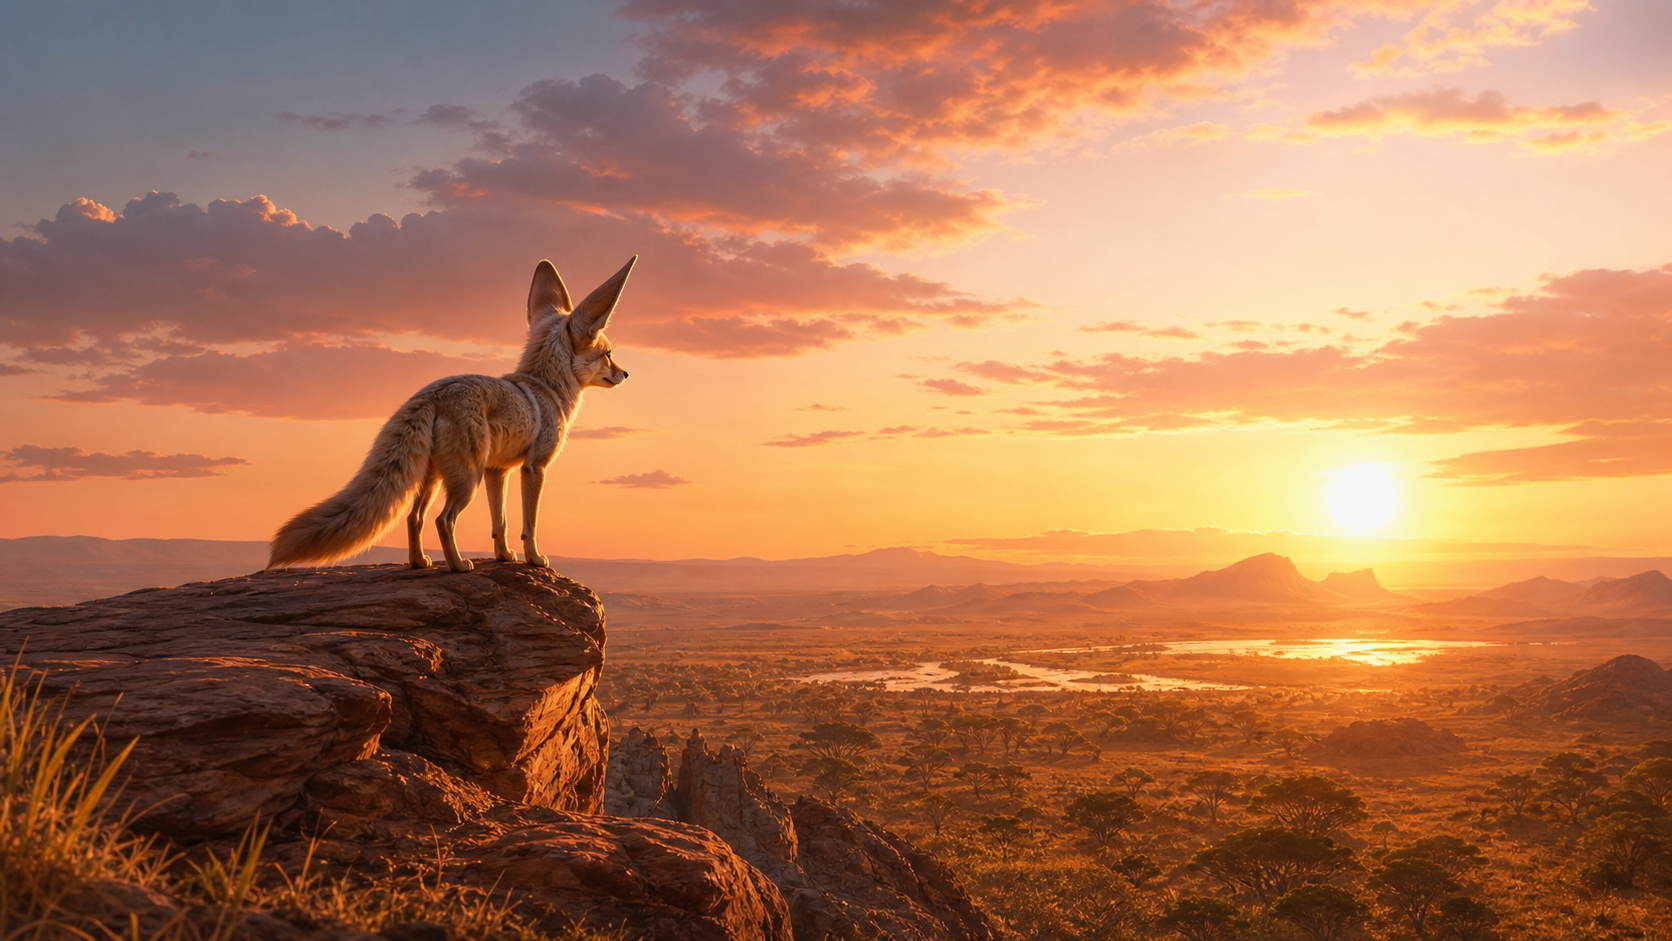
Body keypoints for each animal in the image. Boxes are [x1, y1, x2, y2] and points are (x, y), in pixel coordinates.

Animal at [267, 256, 635, 573]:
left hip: (434, 478)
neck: (547, 387)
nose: (626, 374)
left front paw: (504, 556)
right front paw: (533, 559)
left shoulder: (497, 471)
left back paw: (420, 562)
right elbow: (528, 525)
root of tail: (432, 393)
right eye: (608, 354)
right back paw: (458, 565)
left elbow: (499, 523)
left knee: (414, 518)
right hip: (465, 480)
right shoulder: (534, 468)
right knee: (442, 520)